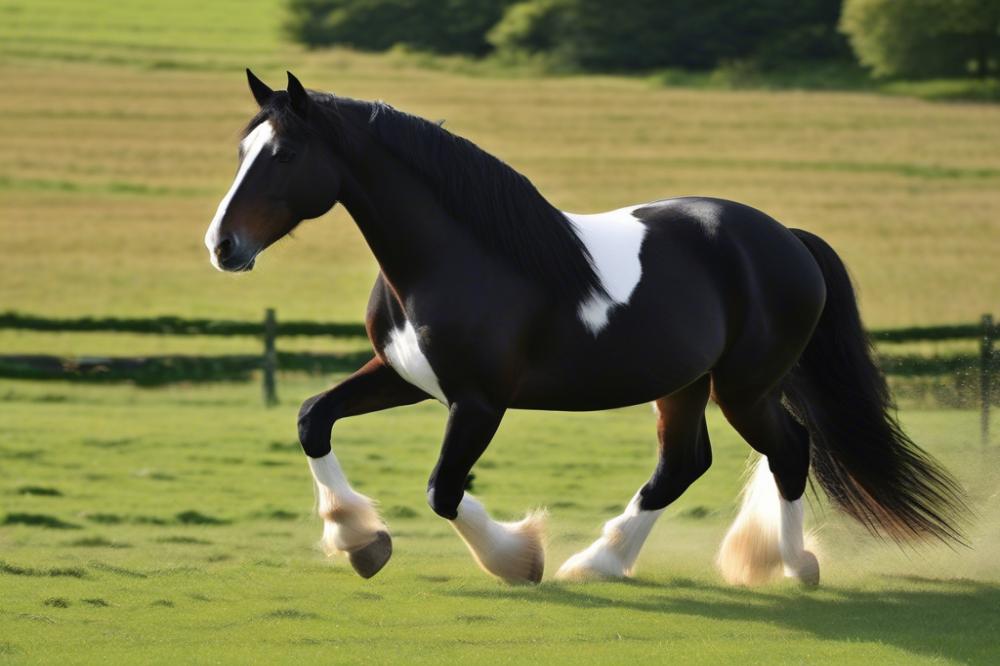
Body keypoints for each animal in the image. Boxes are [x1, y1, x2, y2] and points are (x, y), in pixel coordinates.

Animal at [201, 70, 960, 584]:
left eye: (285, 155)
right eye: (240, 151)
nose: (222, 246)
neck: (456, 257)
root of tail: (787, 240)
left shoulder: (479, 402)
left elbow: (444, 489)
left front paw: (517, 559)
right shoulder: (405, 376)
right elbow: (312, 418)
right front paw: (360, 540)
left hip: (744, 388)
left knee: (790, 450)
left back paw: (791, 564)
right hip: (685, 385)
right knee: (682, 465)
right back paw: (603, 561)